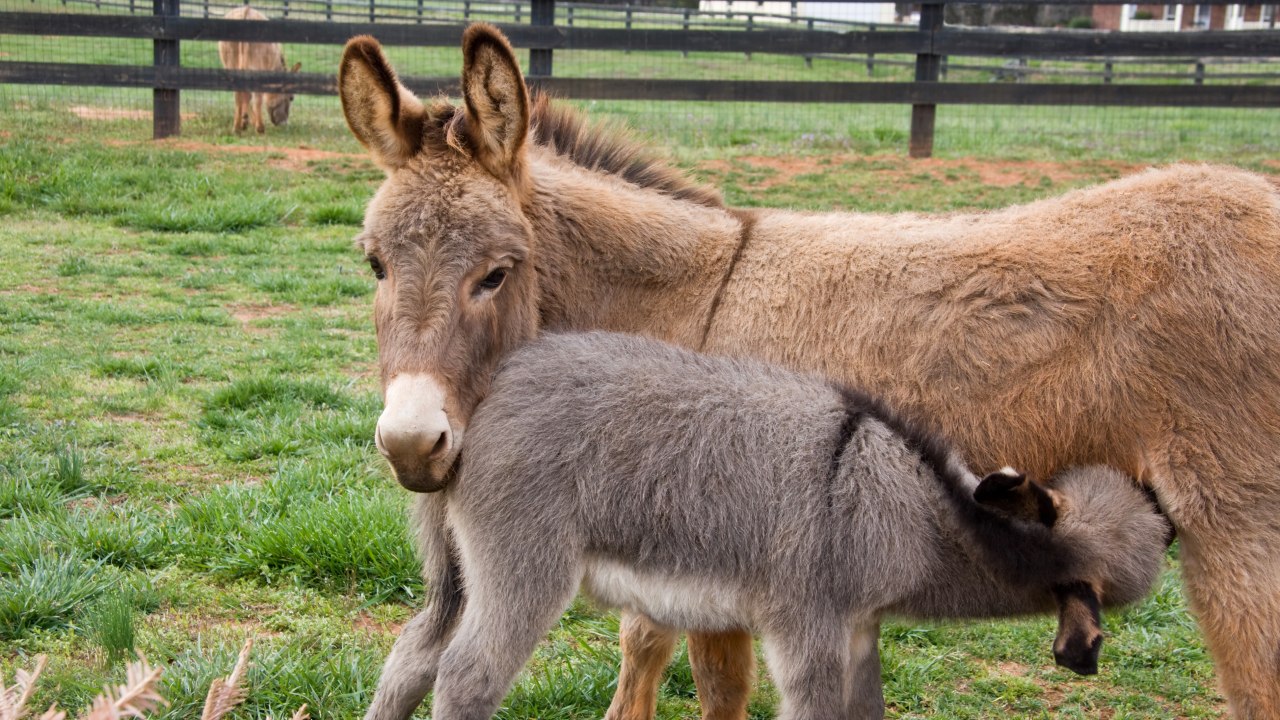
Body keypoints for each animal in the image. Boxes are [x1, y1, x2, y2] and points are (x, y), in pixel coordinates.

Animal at [378, 333, 1172, 717]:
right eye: (1155, 526)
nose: (1174, 506)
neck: (912, 506)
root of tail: (479, 402)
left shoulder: (858, 631)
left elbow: (867, 714)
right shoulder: (808, 628)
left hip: (463, 571)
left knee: (414, 657)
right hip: (527, 568)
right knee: (467, 676)